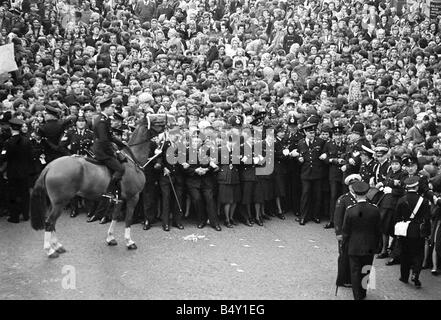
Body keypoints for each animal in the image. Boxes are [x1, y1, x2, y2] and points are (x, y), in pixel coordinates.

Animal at [31, 116, 162, 258]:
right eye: (156, 119)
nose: (169, 124)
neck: (132, 161)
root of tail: (50, 166)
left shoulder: (119, 199)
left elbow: (115, 217)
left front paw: (110, 238)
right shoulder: (133, 197)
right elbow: (128, 220)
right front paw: (129, 241)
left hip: (56, 203)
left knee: (52, 223)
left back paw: (57, 246)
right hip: (60, 202)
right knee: (49, 222)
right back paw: (49, 250)